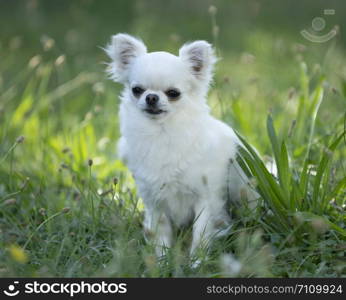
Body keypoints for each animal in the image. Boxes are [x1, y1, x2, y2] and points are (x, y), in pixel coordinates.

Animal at [104, 33, 256, 260]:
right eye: (137, 90)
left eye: (173, 93)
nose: (151, 97)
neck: (161, 133)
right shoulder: (156, 204)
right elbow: (161, 237)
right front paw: (162, 262)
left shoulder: (206, 200)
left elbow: (200, 235)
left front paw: (197, 262)